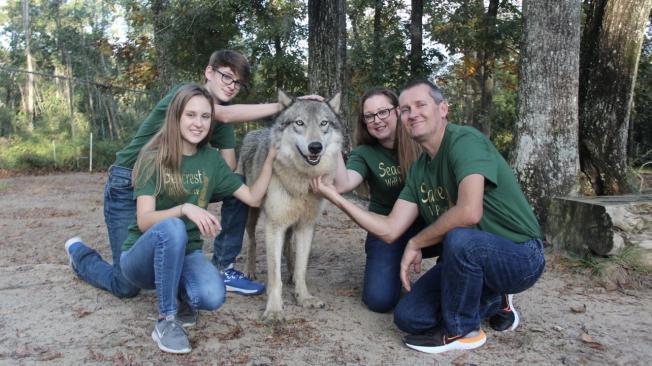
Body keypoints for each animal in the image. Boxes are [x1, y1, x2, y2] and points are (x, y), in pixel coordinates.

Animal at [237, 90, 344, 322]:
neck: (302, 182)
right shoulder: (274, 226)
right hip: (252, 212)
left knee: (288, 248)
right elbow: (274, 275)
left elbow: (302, 269)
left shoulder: (306, 226)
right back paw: (250, 270)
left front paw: (303, 298)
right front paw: (274, 309)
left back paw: (291, 273)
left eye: (323, 123)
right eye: (299, 123)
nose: (315, 147)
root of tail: (253, 131)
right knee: (251, 240)